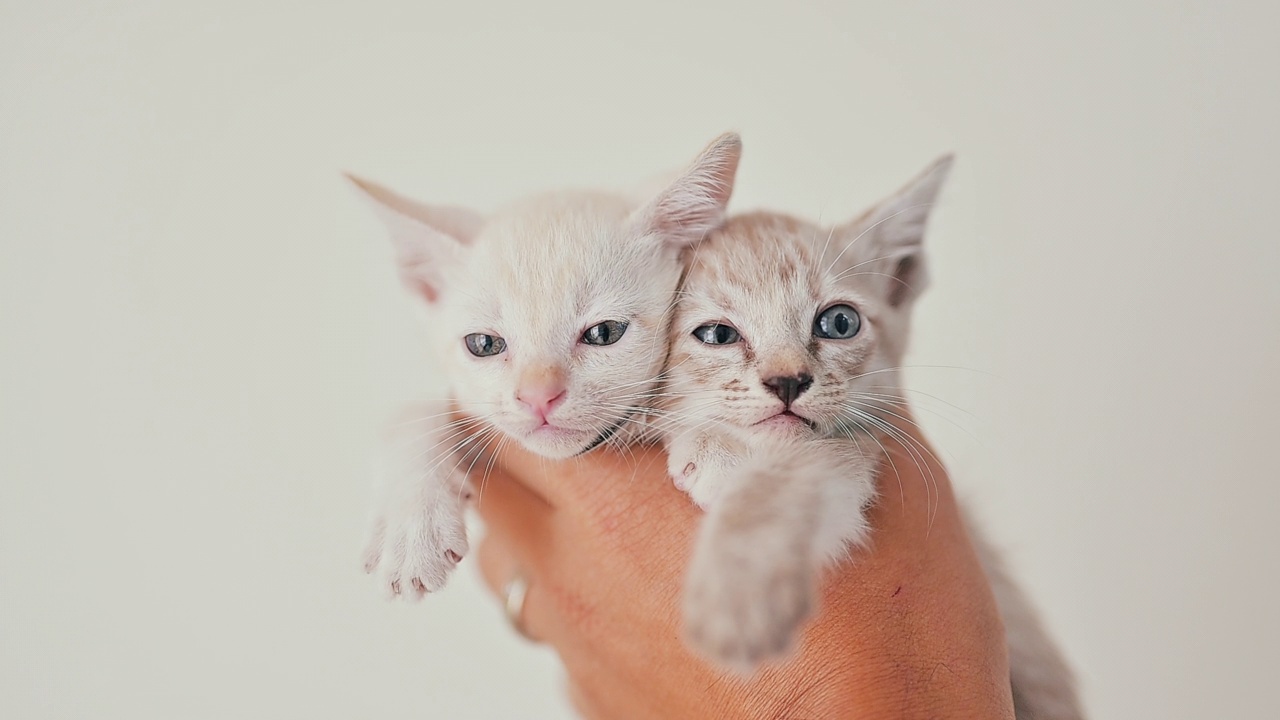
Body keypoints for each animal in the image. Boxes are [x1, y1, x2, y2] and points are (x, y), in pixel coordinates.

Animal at [348, 131, 742, 597]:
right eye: (484, 344)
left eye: (603, 333)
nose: (539, 398)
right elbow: (412, 414)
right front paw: (411, 526)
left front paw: (723, 445)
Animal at [665, 158, 1085, 717]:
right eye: (716, 335)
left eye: (839, 322)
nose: (788, 382)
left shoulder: (857, 445)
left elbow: (792, 478)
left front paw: (737, 595)